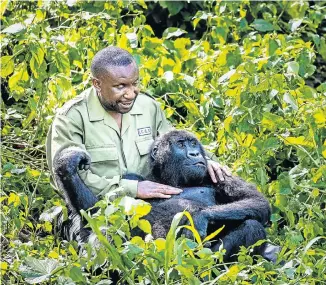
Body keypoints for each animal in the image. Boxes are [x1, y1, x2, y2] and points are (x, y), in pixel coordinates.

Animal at [53, 130, 278, 260]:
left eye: (193, 143)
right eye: (181, 144)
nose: (195, 153)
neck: (169, 178)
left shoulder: (217, 174)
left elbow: (256, 202)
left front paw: (199, 217)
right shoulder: (131, 177)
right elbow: (100, 214)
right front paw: (67, 165)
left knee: (252, 226)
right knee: (108, 231)